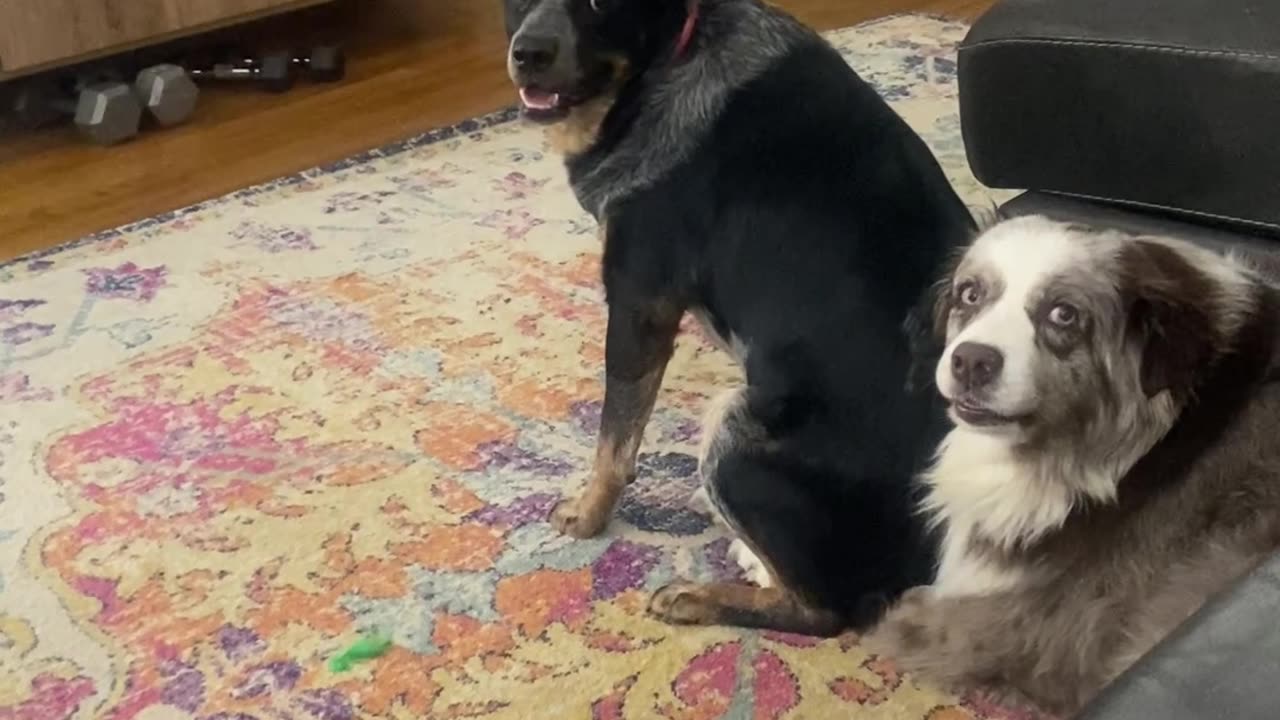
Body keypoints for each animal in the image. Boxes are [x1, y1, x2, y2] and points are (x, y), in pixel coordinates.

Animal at [499, 0, 967, 630]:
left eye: (600, 6)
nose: (529, 54)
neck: (670, 59)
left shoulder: (638, 303)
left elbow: (614, 439)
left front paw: (589, 513)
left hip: (736, 427)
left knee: (824, 612)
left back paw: (700, 596)